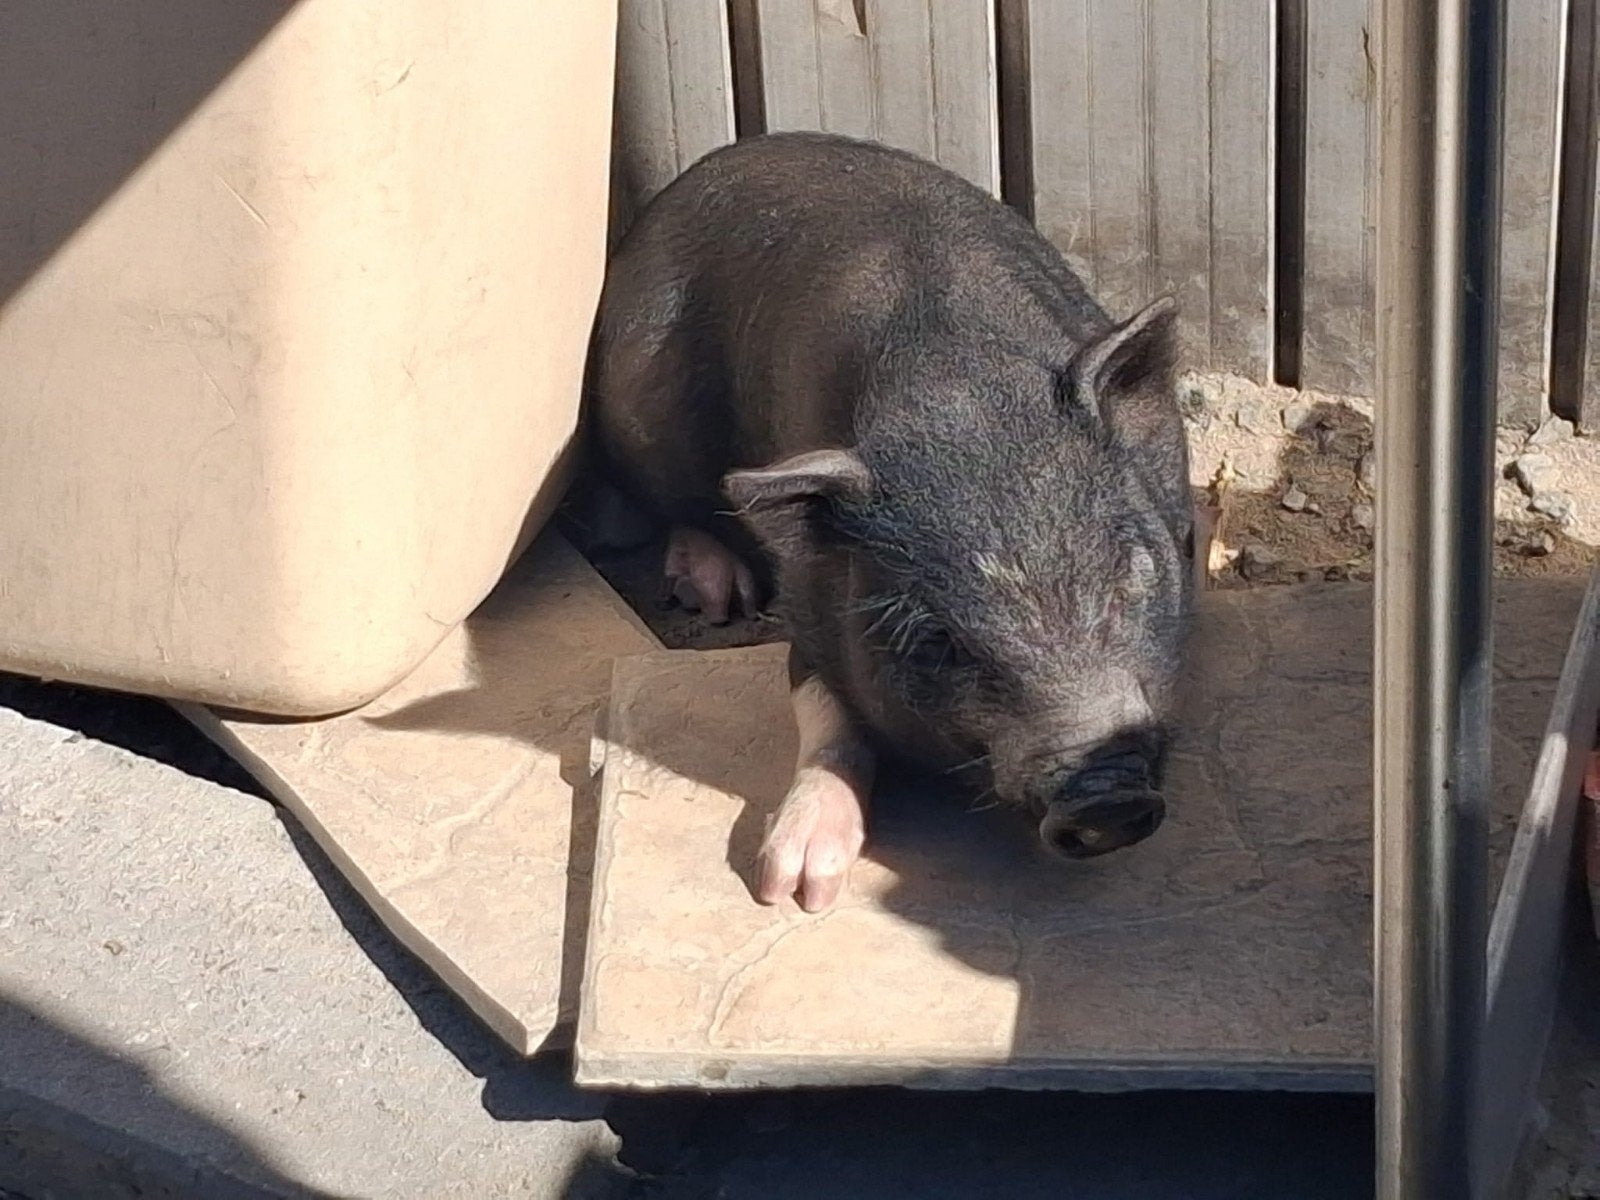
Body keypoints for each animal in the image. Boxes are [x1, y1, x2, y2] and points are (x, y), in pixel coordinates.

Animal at [587, 131, 1196, 913]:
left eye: (1127, 575)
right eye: (939, 640)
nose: (1106, 796)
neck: (954, 389)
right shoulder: (812, 606)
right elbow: (822, 714)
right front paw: (794, 887)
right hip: (632, 398)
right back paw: (718, 596)